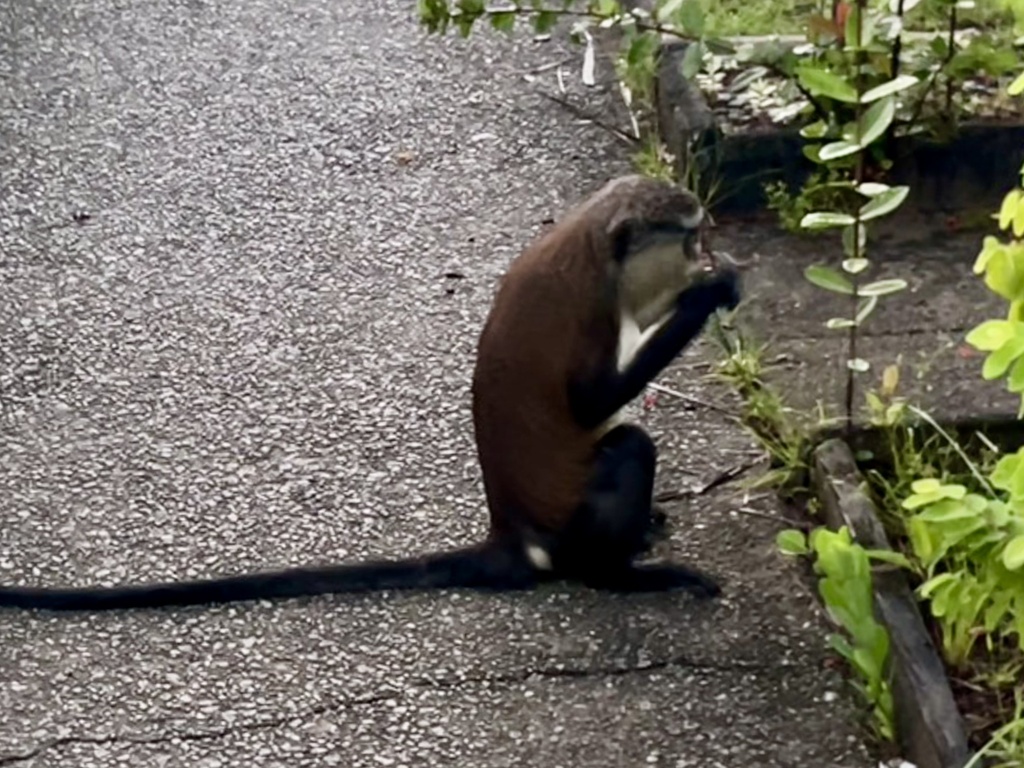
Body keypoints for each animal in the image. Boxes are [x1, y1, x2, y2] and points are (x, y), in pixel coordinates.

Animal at [0, 174, 741, 613]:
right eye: (689, 237)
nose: (705, 252)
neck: (592, 239)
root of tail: (514, 532)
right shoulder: (588, 309)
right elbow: (589, 404)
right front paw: (708, 291)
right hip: (572, 523)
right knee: (628, 445)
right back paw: (618, 574)